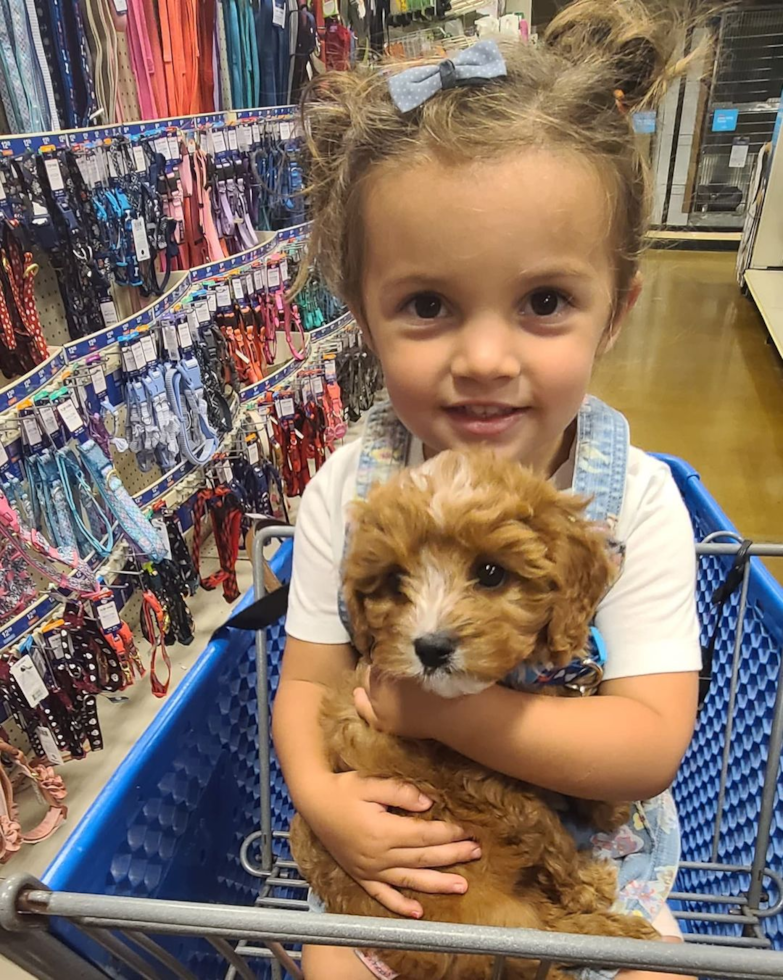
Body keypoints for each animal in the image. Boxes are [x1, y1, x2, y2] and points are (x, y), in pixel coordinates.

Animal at [290, 452, 660, 980]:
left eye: (490, 572)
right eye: (395, 582)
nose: (430, 647)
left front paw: (604, 808)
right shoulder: (491, 785)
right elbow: (550, 832)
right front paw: (587, 881)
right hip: (504, 923)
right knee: (553, 937)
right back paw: (621, 931)